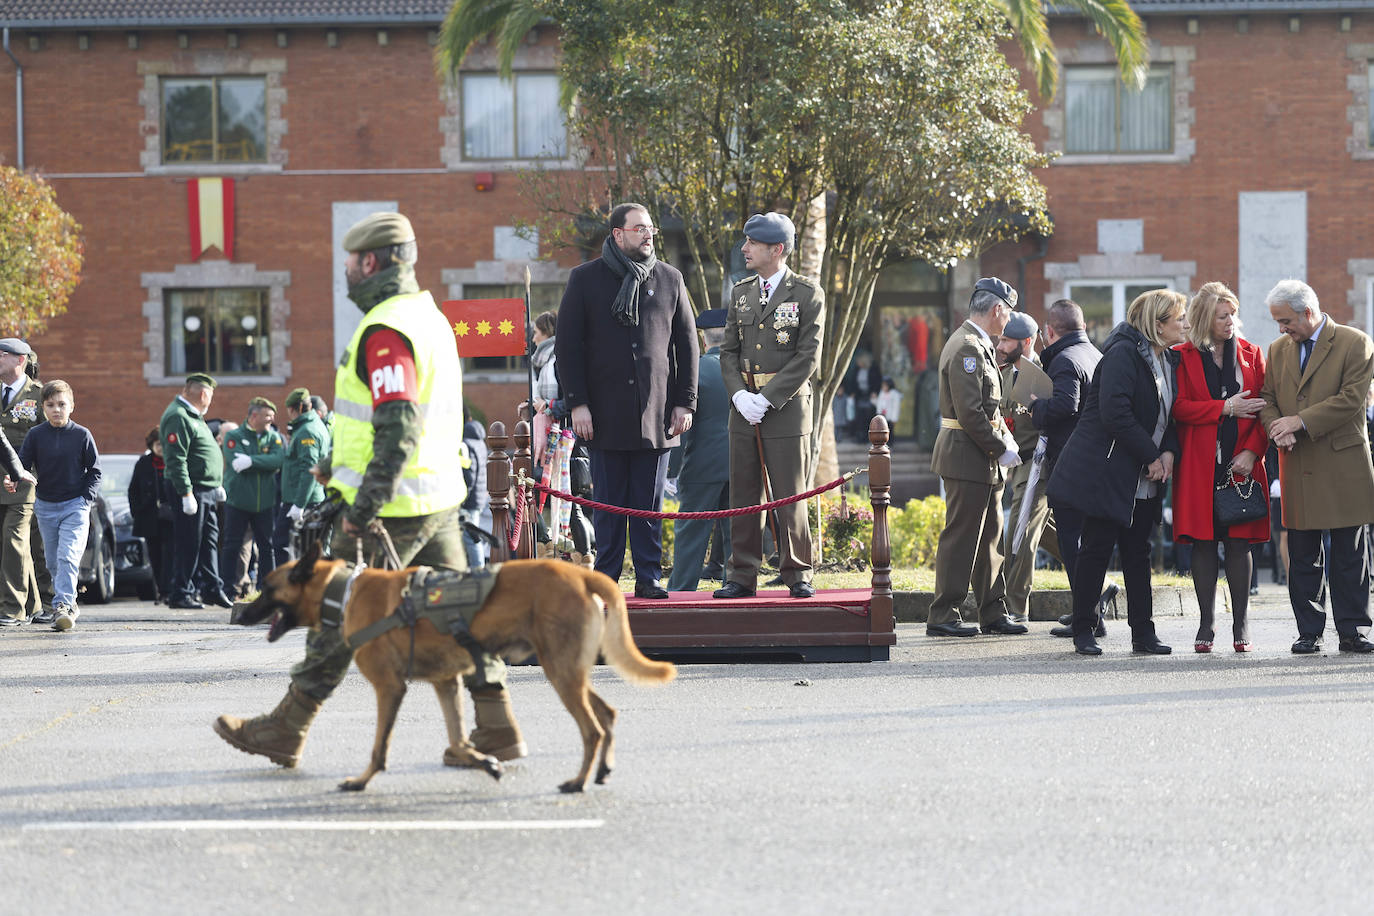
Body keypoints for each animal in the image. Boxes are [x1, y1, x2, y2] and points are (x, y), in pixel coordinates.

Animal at [236, 543, 676, 796]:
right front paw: (483, 761)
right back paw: (602, 771)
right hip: (569, 671)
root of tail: (580, 571)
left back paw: (578, 782)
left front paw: (361, 781)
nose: (240, 613)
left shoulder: (389, 688)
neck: (341, 590)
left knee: (592, 729)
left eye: (267, 587)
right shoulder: (445, 683)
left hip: (561, 673)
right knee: (608, 714)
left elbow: (379, 746)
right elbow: (459, 736)